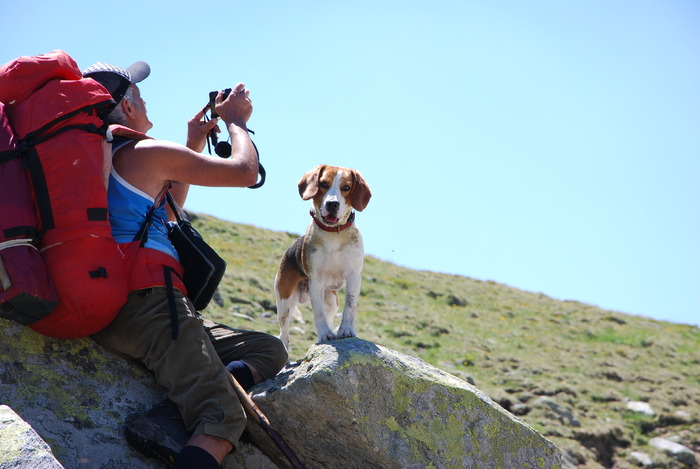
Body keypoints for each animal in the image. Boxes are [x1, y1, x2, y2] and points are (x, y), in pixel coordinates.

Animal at [274, 163, 372, 350]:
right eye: (323, 184)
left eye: (346, 188)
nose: (332, 204)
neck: (333, 234)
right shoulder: (316, 280)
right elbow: (318, 312)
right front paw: (325, 335)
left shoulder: (353, 276)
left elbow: (350, 306)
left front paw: (346, 330)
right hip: (284, 302)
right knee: (284, 333)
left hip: (332, 300)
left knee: (330, 316)